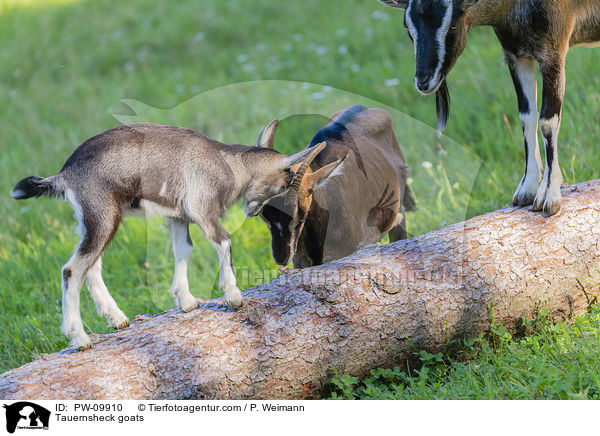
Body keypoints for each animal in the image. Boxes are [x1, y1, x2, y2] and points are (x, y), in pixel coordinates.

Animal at [11, 122, 326, 350]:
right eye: (285, 184)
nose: (253, 211)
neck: (228, 165)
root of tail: (64, 175)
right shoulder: (201, 208)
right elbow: (223, 239)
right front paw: (234, 296)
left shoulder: (178, 216)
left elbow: (183, 249)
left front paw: (186, 301)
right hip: (102, 215)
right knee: (72, 269)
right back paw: (79, 338)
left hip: (92, 220)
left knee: (91, 266)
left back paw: (118, 319)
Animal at [378, 0, 596, 216]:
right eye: (408, 27)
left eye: (453, 25)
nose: (424, 81)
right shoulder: (516, 54)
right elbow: (527, 118)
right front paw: (527, 189)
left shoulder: (553, 50)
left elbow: (547, 122)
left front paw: (549, 196)